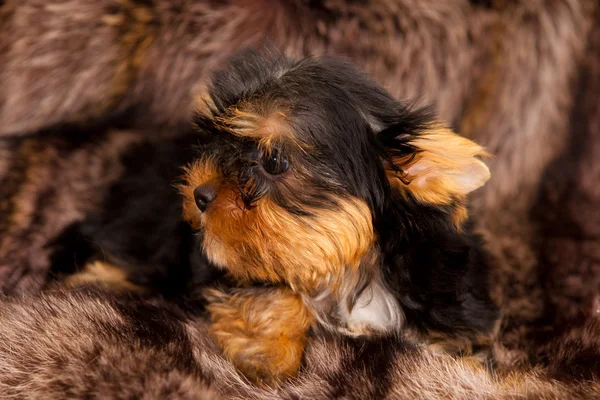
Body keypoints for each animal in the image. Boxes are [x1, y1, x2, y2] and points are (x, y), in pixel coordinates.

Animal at [180, 49, 500, 384]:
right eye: (214, 142)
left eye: (274, 161)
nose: (200, 194)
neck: (351, 269)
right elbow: (271, 289)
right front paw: (267, 352)